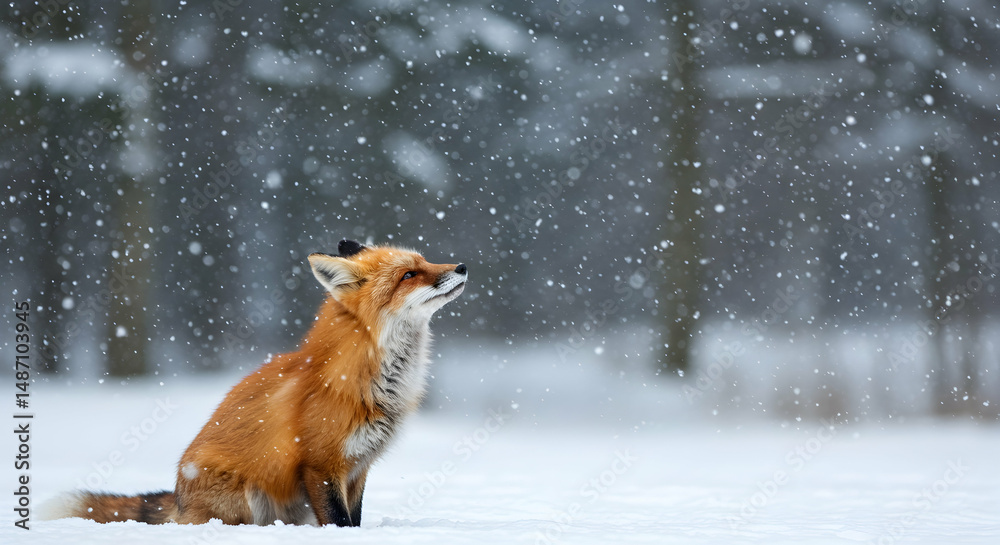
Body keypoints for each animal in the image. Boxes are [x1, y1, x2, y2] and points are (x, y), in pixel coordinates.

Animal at [43, 239, 467, 527]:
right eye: (409, 275)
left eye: (425, 261)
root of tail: (178, 498)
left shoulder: (358, 467)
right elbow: (339, 522)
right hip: (248, 500)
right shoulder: (321, 466)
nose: (462, 266)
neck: (377, 379)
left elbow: (356, 518)